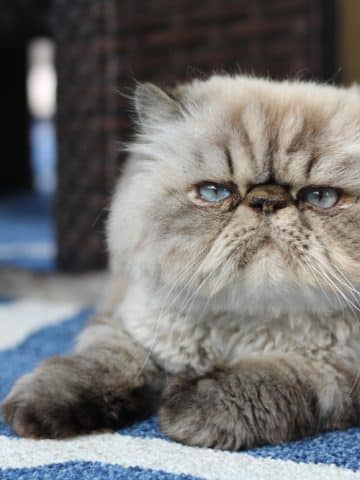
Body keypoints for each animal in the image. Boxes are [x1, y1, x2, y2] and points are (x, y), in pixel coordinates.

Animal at [2, 75, 360, 450]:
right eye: (215, 193)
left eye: (321, 197)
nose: (267, 202)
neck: (240, 325)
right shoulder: (127, 330)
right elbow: (96, 366)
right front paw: (36, 412)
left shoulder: (335, 372)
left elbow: (259, 383)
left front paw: (181, 408)